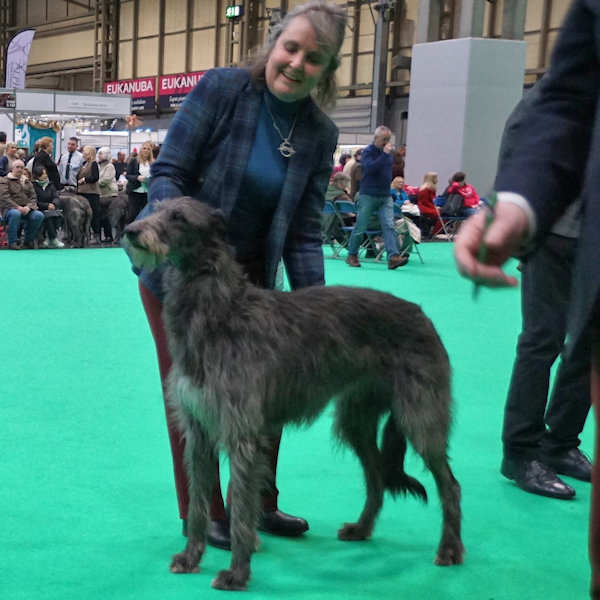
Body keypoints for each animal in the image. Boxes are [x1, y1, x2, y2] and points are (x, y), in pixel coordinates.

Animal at [123, 196, 464, 592]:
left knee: (450, 485)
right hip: (357, 418)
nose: (130, 231)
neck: (221, 312)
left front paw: (237, 573)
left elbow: (242, 509)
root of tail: (423, 316)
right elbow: (197, 506)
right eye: (157, 208)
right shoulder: (199, 431)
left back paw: (450, 549)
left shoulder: (242, 434)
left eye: (179, 218)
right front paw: (191, 557)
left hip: (420, 415)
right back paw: (361, 529)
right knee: (376, 477)